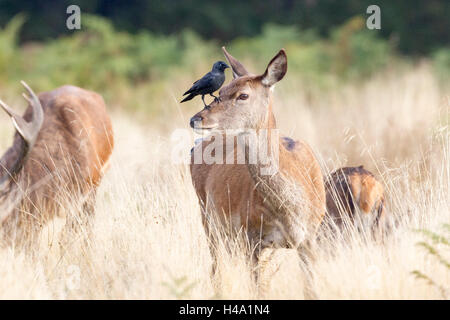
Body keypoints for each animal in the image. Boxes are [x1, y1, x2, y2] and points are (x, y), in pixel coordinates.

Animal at [188, 47, 326, 296]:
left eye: (243, 95)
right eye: (220, 91)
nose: (195, 119)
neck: (291, 212)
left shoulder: (310, 237)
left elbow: (310, 289)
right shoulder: (250, 236)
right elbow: (257, 289)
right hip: (207, 217)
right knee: (215, 270)